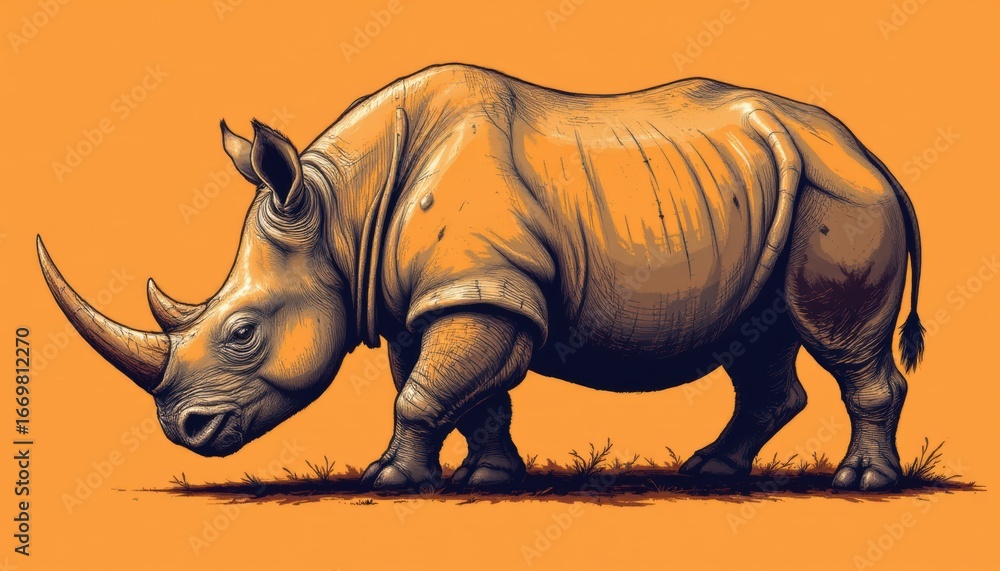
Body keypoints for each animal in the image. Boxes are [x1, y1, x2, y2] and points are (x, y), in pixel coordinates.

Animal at [38, 64, 925, 492]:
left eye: (243, 332)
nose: (181, 430)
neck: (342, 210)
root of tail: (877, 157)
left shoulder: (484, 287)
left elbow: (423, 392)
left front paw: (388, 479)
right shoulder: (440, 296)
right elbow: (464, 393)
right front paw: (484, 476)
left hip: (841, 196)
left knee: (834, 336)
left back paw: (858, 483)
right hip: (779, 193)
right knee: (760, 337)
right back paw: (710, 471)